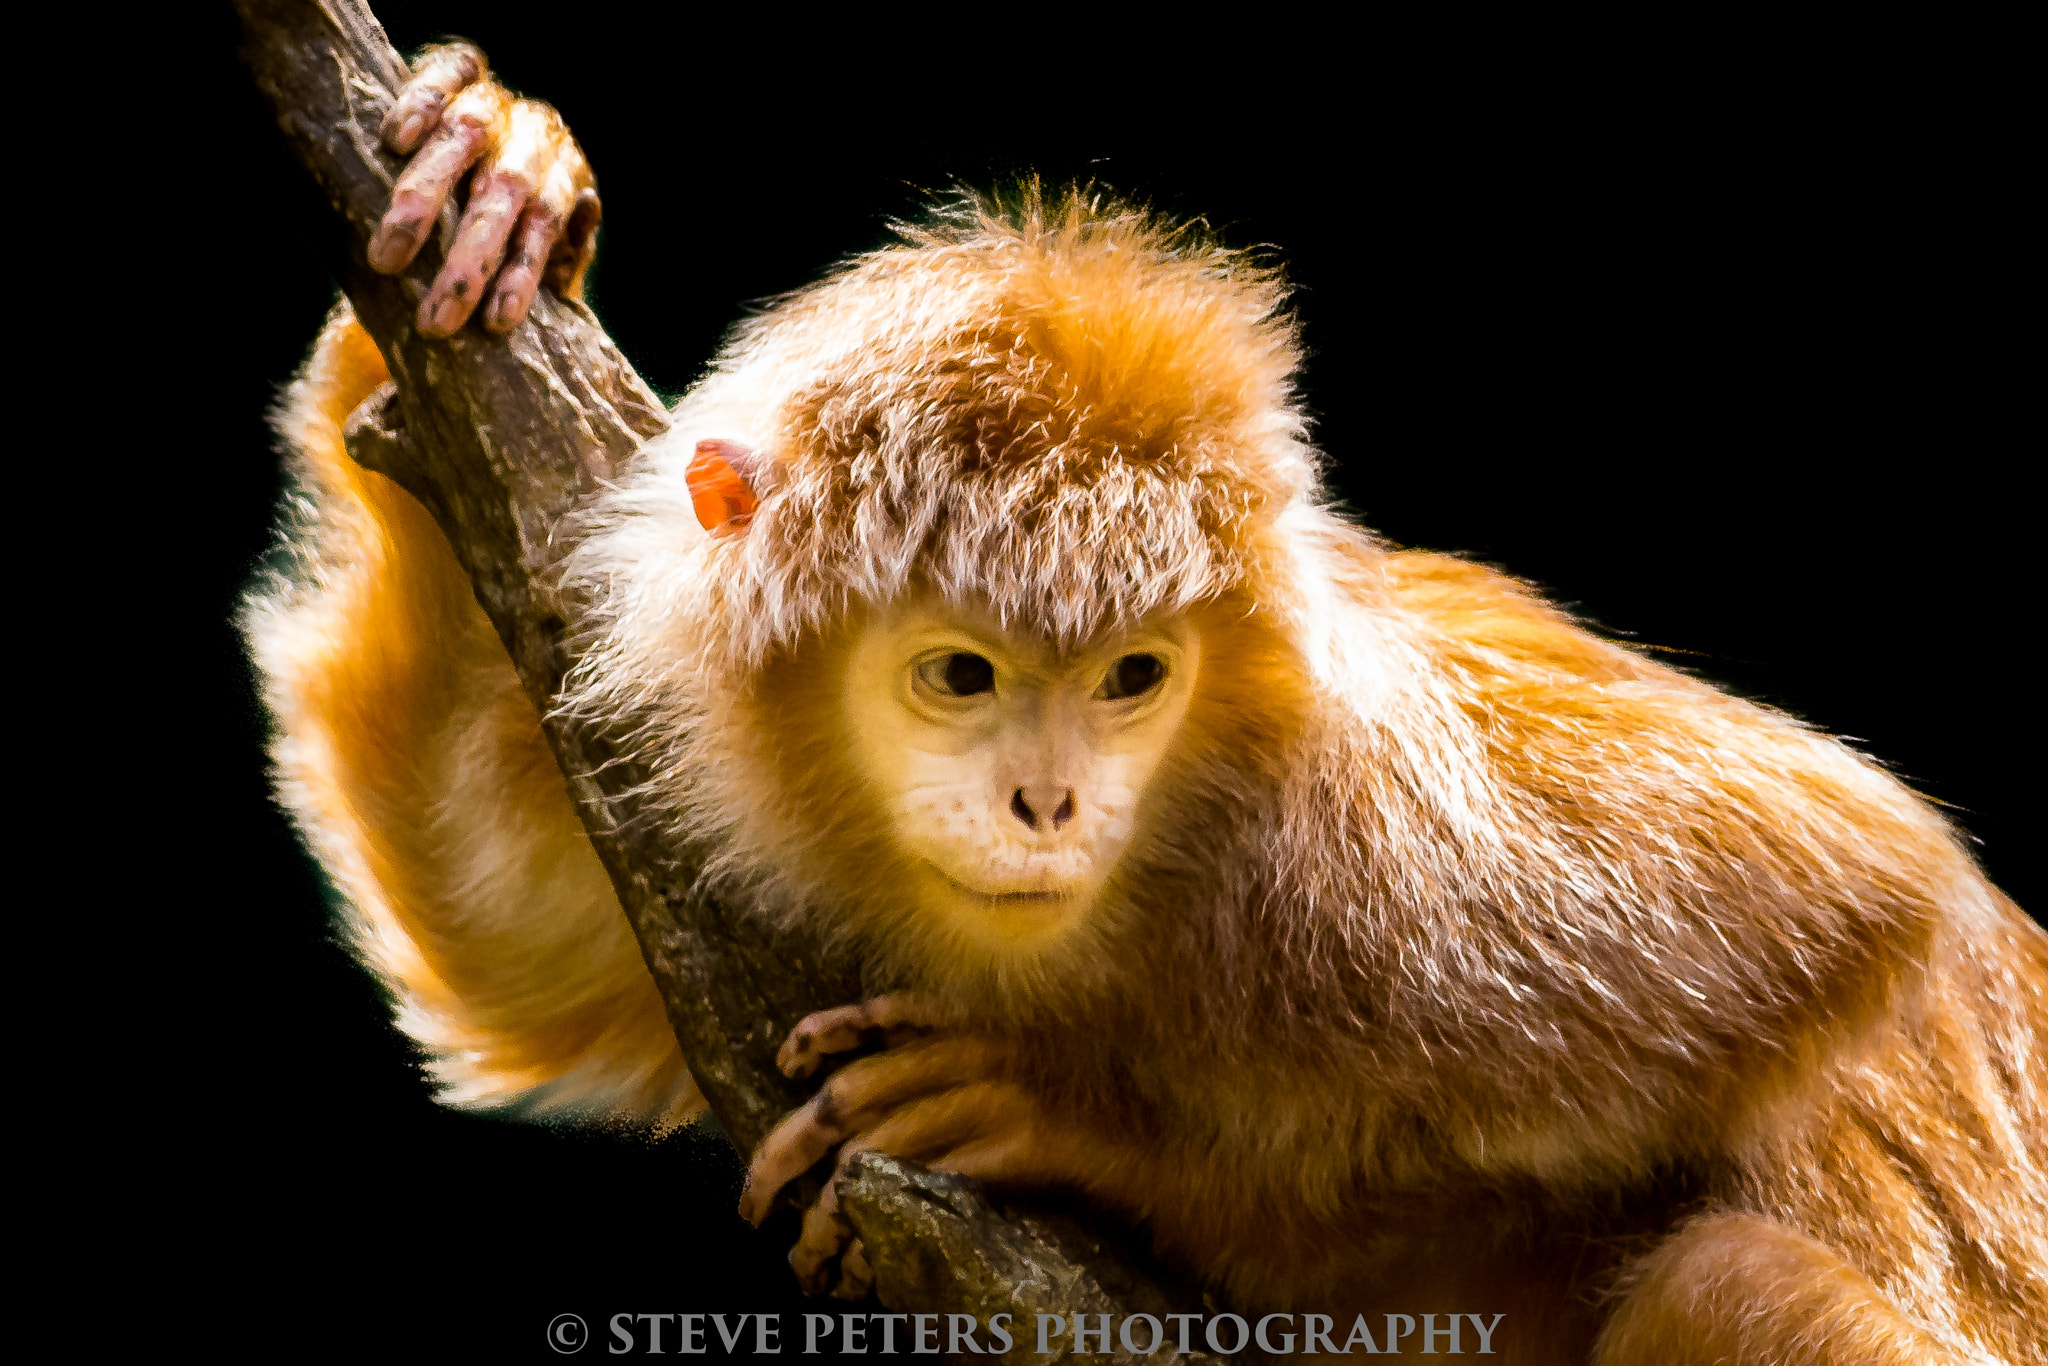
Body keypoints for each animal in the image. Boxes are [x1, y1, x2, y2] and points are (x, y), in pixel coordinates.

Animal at [251, 42, 2048, 1366]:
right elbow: (516, 938)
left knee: (1727, 1281)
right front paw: (488, 181)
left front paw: (1082, 1123)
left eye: (1132, 679)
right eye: (962, 675)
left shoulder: (1398, 828)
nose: (1047, 801)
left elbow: (1845, 886)